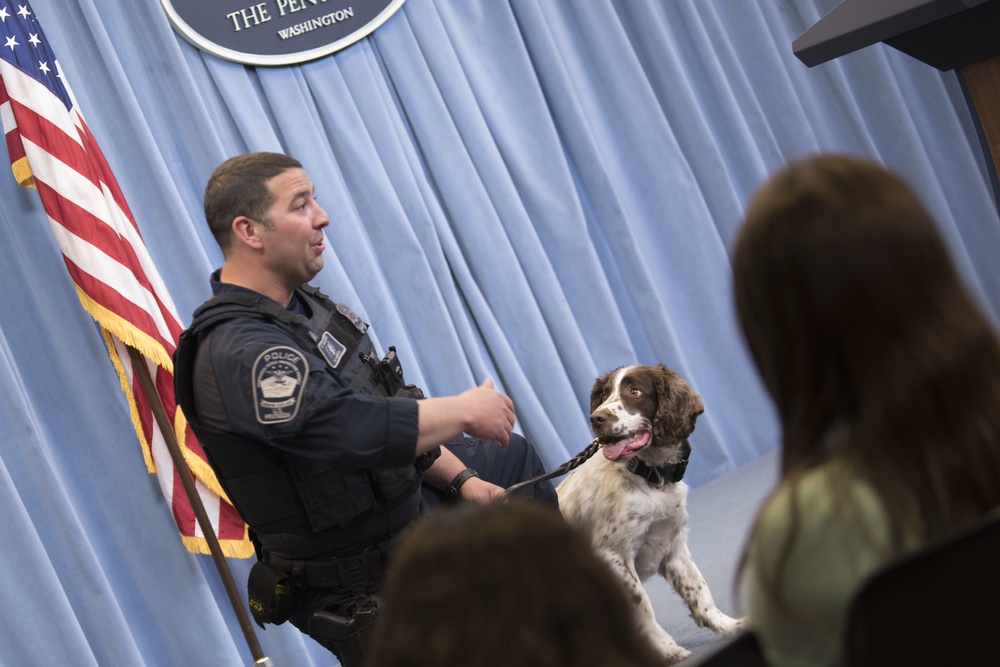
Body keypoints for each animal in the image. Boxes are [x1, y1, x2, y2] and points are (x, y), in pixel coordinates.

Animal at [560, 368, 740, 664]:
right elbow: (641, 605)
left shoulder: (672, 545)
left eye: (634, 392)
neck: (650, 477)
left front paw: (727, 624)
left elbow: (699, 589)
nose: (596, 418)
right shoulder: (613, 556)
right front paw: (665, 649)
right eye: (604, 395)